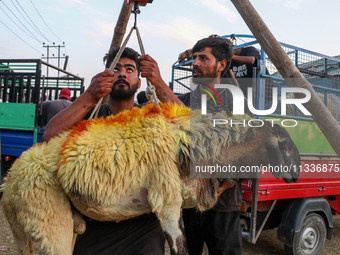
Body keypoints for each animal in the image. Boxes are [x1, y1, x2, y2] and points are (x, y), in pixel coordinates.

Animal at [0, 102, 298, 255]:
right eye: (284, 145)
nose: (295, 175)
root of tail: (10, 182)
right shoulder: (166, 198)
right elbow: (179, 246)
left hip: (37, 231)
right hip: (47, 218)